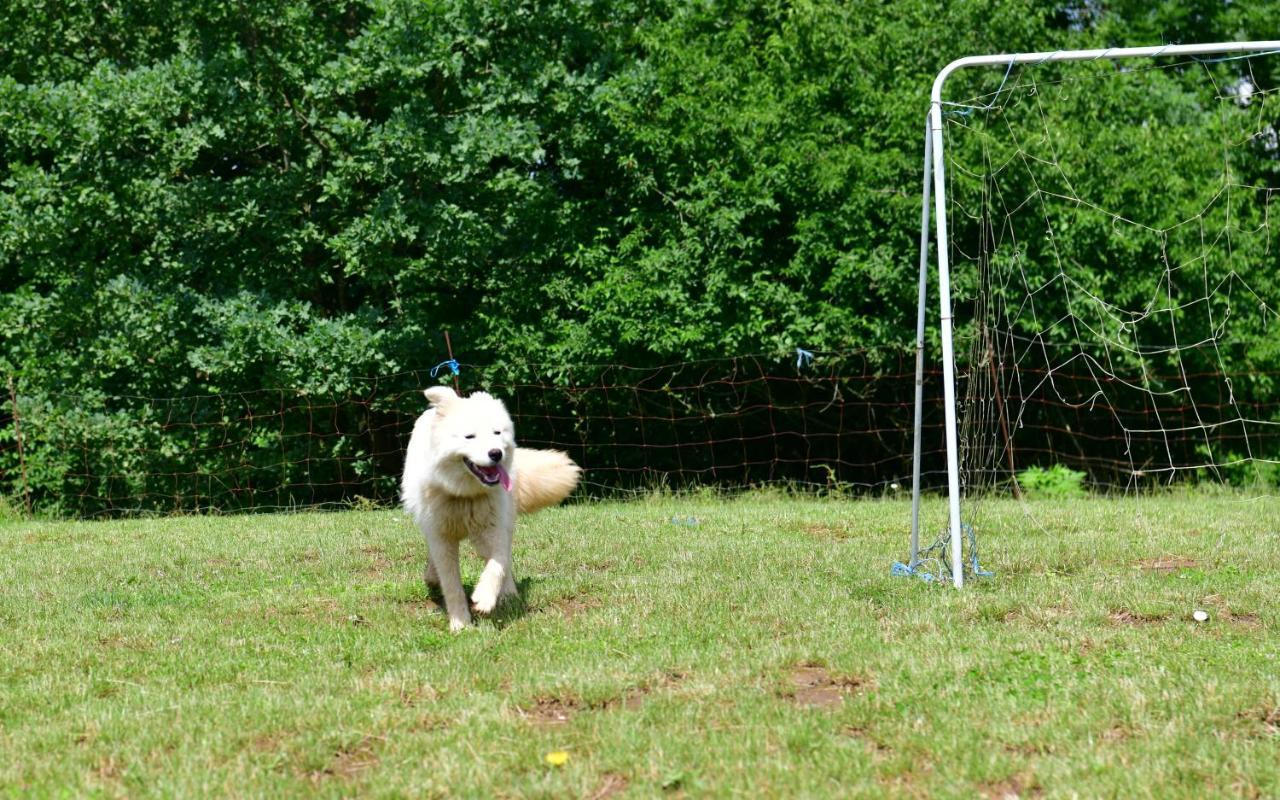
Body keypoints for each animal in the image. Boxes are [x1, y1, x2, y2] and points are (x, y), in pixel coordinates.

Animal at [399, 384, 581, 627]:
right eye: (469, 436)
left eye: (497, 433)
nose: (496, 453)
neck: (465, 495)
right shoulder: (441, 537)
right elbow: (452, 585)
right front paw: (460, 623)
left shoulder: (495, 529)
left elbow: (499, 563)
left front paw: (485, 598)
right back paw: (432, 577)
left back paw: (508, 595)